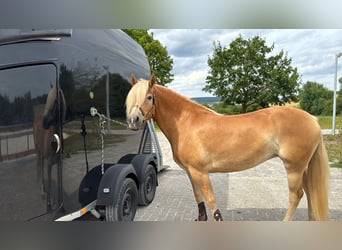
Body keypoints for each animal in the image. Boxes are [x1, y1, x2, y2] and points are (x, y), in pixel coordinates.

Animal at [126, 74, 332, 221]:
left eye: (149, 97)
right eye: (130, 99)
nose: (133, 120)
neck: (186, 122)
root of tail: (312, 119)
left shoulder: (201, 172)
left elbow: (211, 201)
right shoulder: (190, 172)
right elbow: (198, 198)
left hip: (294, 167)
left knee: (296, 196)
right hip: (303, 168)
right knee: (310, 194)